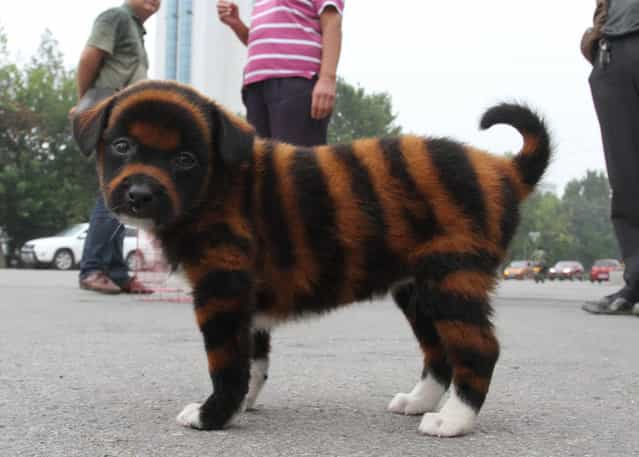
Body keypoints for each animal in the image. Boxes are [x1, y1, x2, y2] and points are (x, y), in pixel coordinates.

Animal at [74, 80, 552, 436]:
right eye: (121, 146)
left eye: (186, 159)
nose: (139, 194)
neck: (215, 185)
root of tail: (504, 171)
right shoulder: (244, 299)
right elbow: (253, 359)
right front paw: (241, 405)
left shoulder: (221, 289)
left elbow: (226, 362)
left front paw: (214, 415)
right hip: (418, 290)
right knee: (439, 351)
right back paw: (419, 402)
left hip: (452, 280)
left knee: (478, 348)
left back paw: (454, 420)